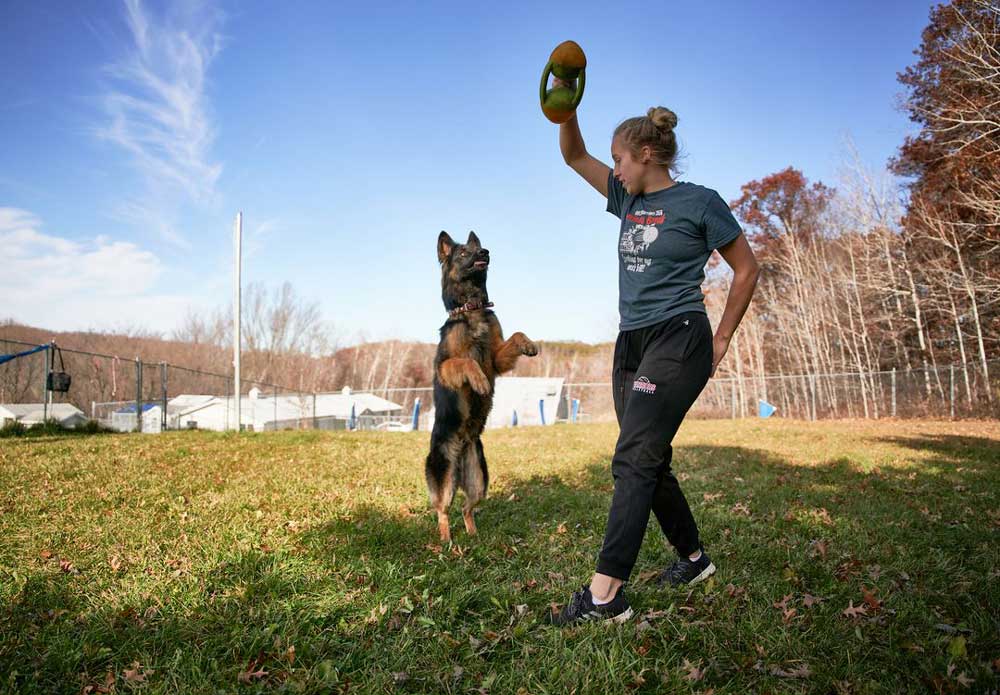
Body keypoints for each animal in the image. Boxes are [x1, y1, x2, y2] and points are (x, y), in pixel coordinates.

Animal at [424, 231, 540, 540]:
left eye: (478, 248)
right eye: (464, 253)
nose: (485, 252)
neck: (473, 308)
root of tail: (462, 449)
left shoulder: (496, 359)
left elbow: (515, 335)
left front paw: (529, 343)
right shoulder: (444, 367)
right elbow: (465, 362)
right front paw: (478, 381)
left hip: (479, 480)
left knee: (467, 508)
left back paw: (473, 535)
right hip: (444, 479)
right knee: (442, 511)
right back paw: (446, 541)